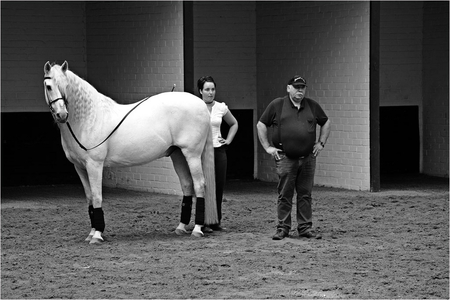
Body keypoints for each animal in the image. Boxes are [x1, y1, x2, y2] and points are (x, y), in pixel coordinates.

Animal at [44, 61, 218, 244]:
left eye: (66, 86)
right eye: (48, 86)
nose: (62, 114)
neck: (90, 119)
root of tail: (201, 104)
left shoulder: (94, 165)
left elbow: (97, 196)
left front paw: (97, 235)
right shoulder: (79, 167)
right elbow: (90, 197)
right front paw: (91, 233)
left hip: (192, 154)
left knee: (199, 185)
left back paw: (197, 229)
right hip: (177, 154)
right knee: (187, 185)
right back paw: (181, 227)